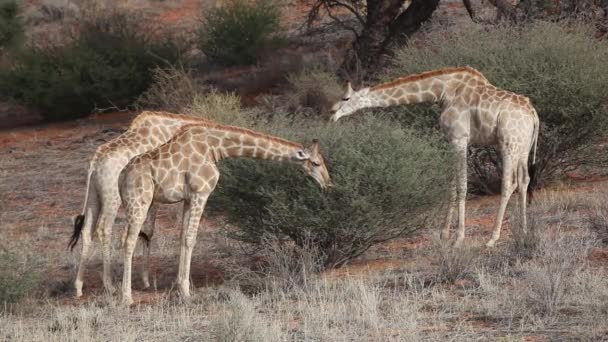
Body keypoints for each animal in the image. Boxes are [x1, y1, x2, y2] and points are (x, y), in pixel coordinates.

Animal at [67, 110, 211, 296]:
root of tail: (95, 162)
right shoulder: (155, 197)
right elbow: (148, 232)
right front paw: (145, 281)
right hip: (112, 197)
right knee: (104, 229)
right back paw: (109, 285)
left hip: (93, 196)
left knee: (87, 231)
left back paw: (78, 287)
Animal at [117, 123, 328, 304]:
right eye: (316, 163)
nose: (328, 182)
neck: (215, 148)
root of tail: (121, 176)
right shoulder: (200, 192)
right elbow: (191, 239)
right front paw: (186, 292)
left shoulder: (188, 198)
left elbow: (183, 238)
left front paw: (179, 288)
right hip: (139, 202)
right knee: (128, 241)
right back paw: (126, 297)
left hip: (134, 204)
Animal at [330, 66, 540, 248]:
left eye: (346, 98)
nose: (332, 114)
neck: (443, 92)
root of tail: (533, 114)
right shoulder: (452, 141)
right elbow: (452, 186)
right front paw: (444, 234)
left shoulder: (459, 138)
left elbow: (462, 186)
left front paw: (458, 238)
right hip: (522, 147)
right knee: (524, 180)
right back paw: (523, 232)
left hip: (508, 144)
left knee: (508, 183)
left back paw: (492, 239)